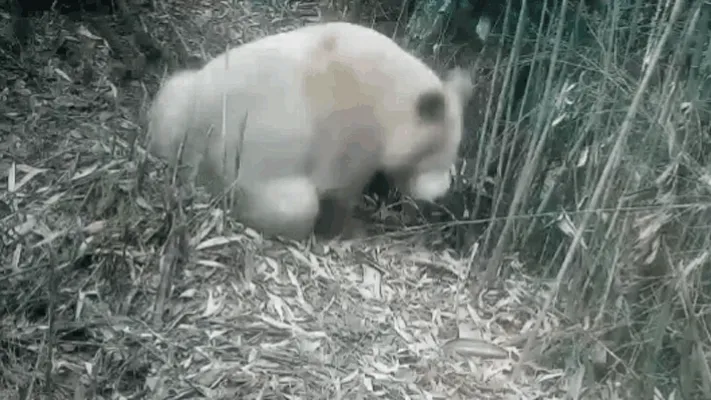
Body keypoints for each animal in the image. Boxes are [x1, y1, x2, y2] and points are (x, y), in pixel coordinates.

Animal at [147, 21, 473, 240]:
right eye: (434, 151)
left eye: (455, 150)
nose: (440, 196)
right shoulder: (354, 129)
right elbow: (340, 190)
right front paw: (348, 230)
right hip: (239, 171)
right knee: (293, 206)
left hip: (182, 94)